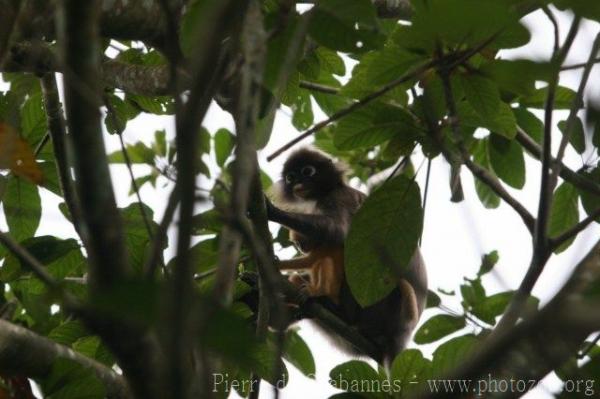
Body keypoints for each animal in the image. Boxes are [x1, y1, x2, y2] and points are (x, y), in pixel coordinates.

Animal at [266, 148, 426, 368]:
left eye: (307, 171)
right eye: (291, 177)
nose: (298, 183)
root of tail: (402, 336)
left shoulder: (341, 197)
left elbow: (336, 231)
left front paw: (273, 212)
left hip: (384, 305)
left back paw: (333, 308)